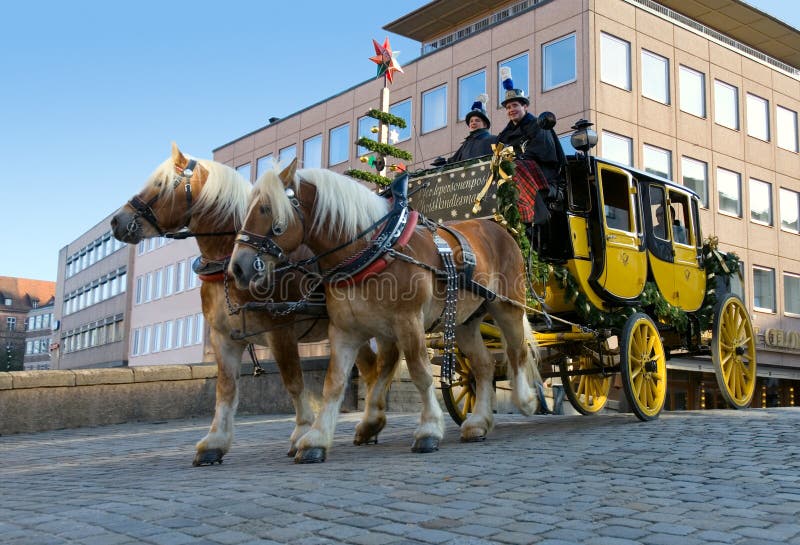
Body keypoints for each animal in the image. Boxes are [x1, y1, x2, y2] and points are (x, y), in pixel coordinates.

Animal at [110, 143, 390, 464]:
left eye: (160, 184)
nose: (117, 221)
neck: (226, 265)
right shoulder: (223, 337)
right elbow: (226, 388)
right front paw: (215, 442)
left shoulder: (280, 331)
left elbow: (293, 381)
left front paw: (301, 432)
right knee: (371, 369)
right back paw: (370, 425)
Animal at [231, 159, 544, 462]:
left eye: (266, 209)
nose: (238, 267)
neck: (373, 250)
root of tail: (499, 229)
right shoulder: (345, 331)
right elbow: (335, 382)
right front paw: (317, 439)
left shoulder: (408, 321)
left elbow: (420, 372)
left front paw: (429, 429)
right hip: (465, 321)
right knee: (484, 365)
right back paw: (478, 423)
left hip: (507, 305)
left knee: (517, 351)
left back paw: (527, 401)